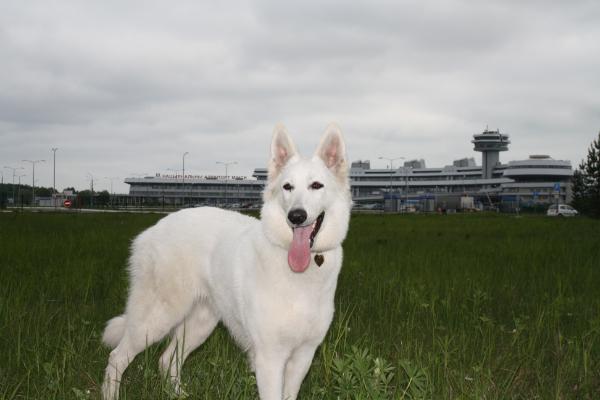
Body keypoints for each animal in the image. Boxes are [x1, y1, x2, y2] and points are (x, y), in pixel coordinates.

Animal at [99, 123, 352, 398]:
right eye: (288, 187)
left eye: (316, 185)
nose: (296, 216)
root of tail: (151, 230)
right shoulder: (270, 358)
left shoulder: (303, 357)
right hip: (155, 320)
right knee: (117, 357)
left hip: (200, 323)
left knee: (167, 360)